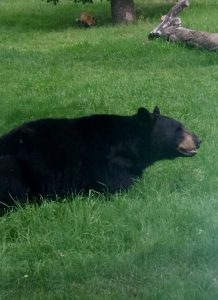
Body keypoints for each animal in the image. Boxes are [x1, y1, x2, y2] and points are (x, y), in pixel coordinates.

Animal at [0, 106, 201, 212]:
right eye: (179, 129)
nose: (199, 140)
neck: (130, 143)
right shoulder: (111, 165)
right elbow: (123, 187)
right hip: (14, 167)